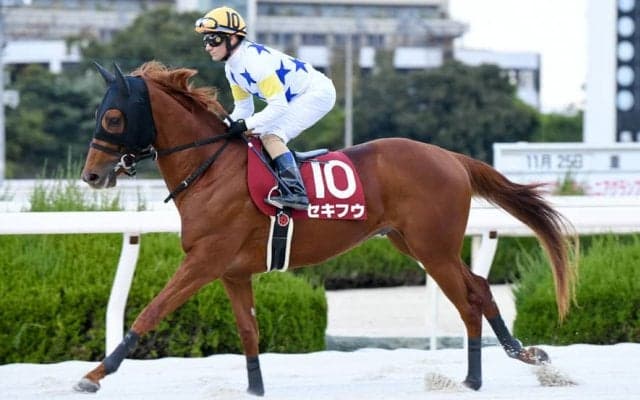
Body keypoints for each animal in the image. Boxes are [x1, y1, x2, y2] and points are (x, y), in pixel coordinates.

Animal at [76, 61, 577, 395]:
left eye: (114, 117)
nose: (92, 175)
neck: (211, 168)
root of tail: (450, 157)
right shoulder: (232, 272)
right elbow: (248, 331)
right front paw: (255, 389)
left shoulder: (203, 262)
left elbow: (149, 313)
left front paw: (94, 375)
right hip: (415, 245)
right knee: (477, 290)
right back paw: (501, 364)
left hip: (433, 248)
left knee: (471, 297)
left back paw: (489, 370)